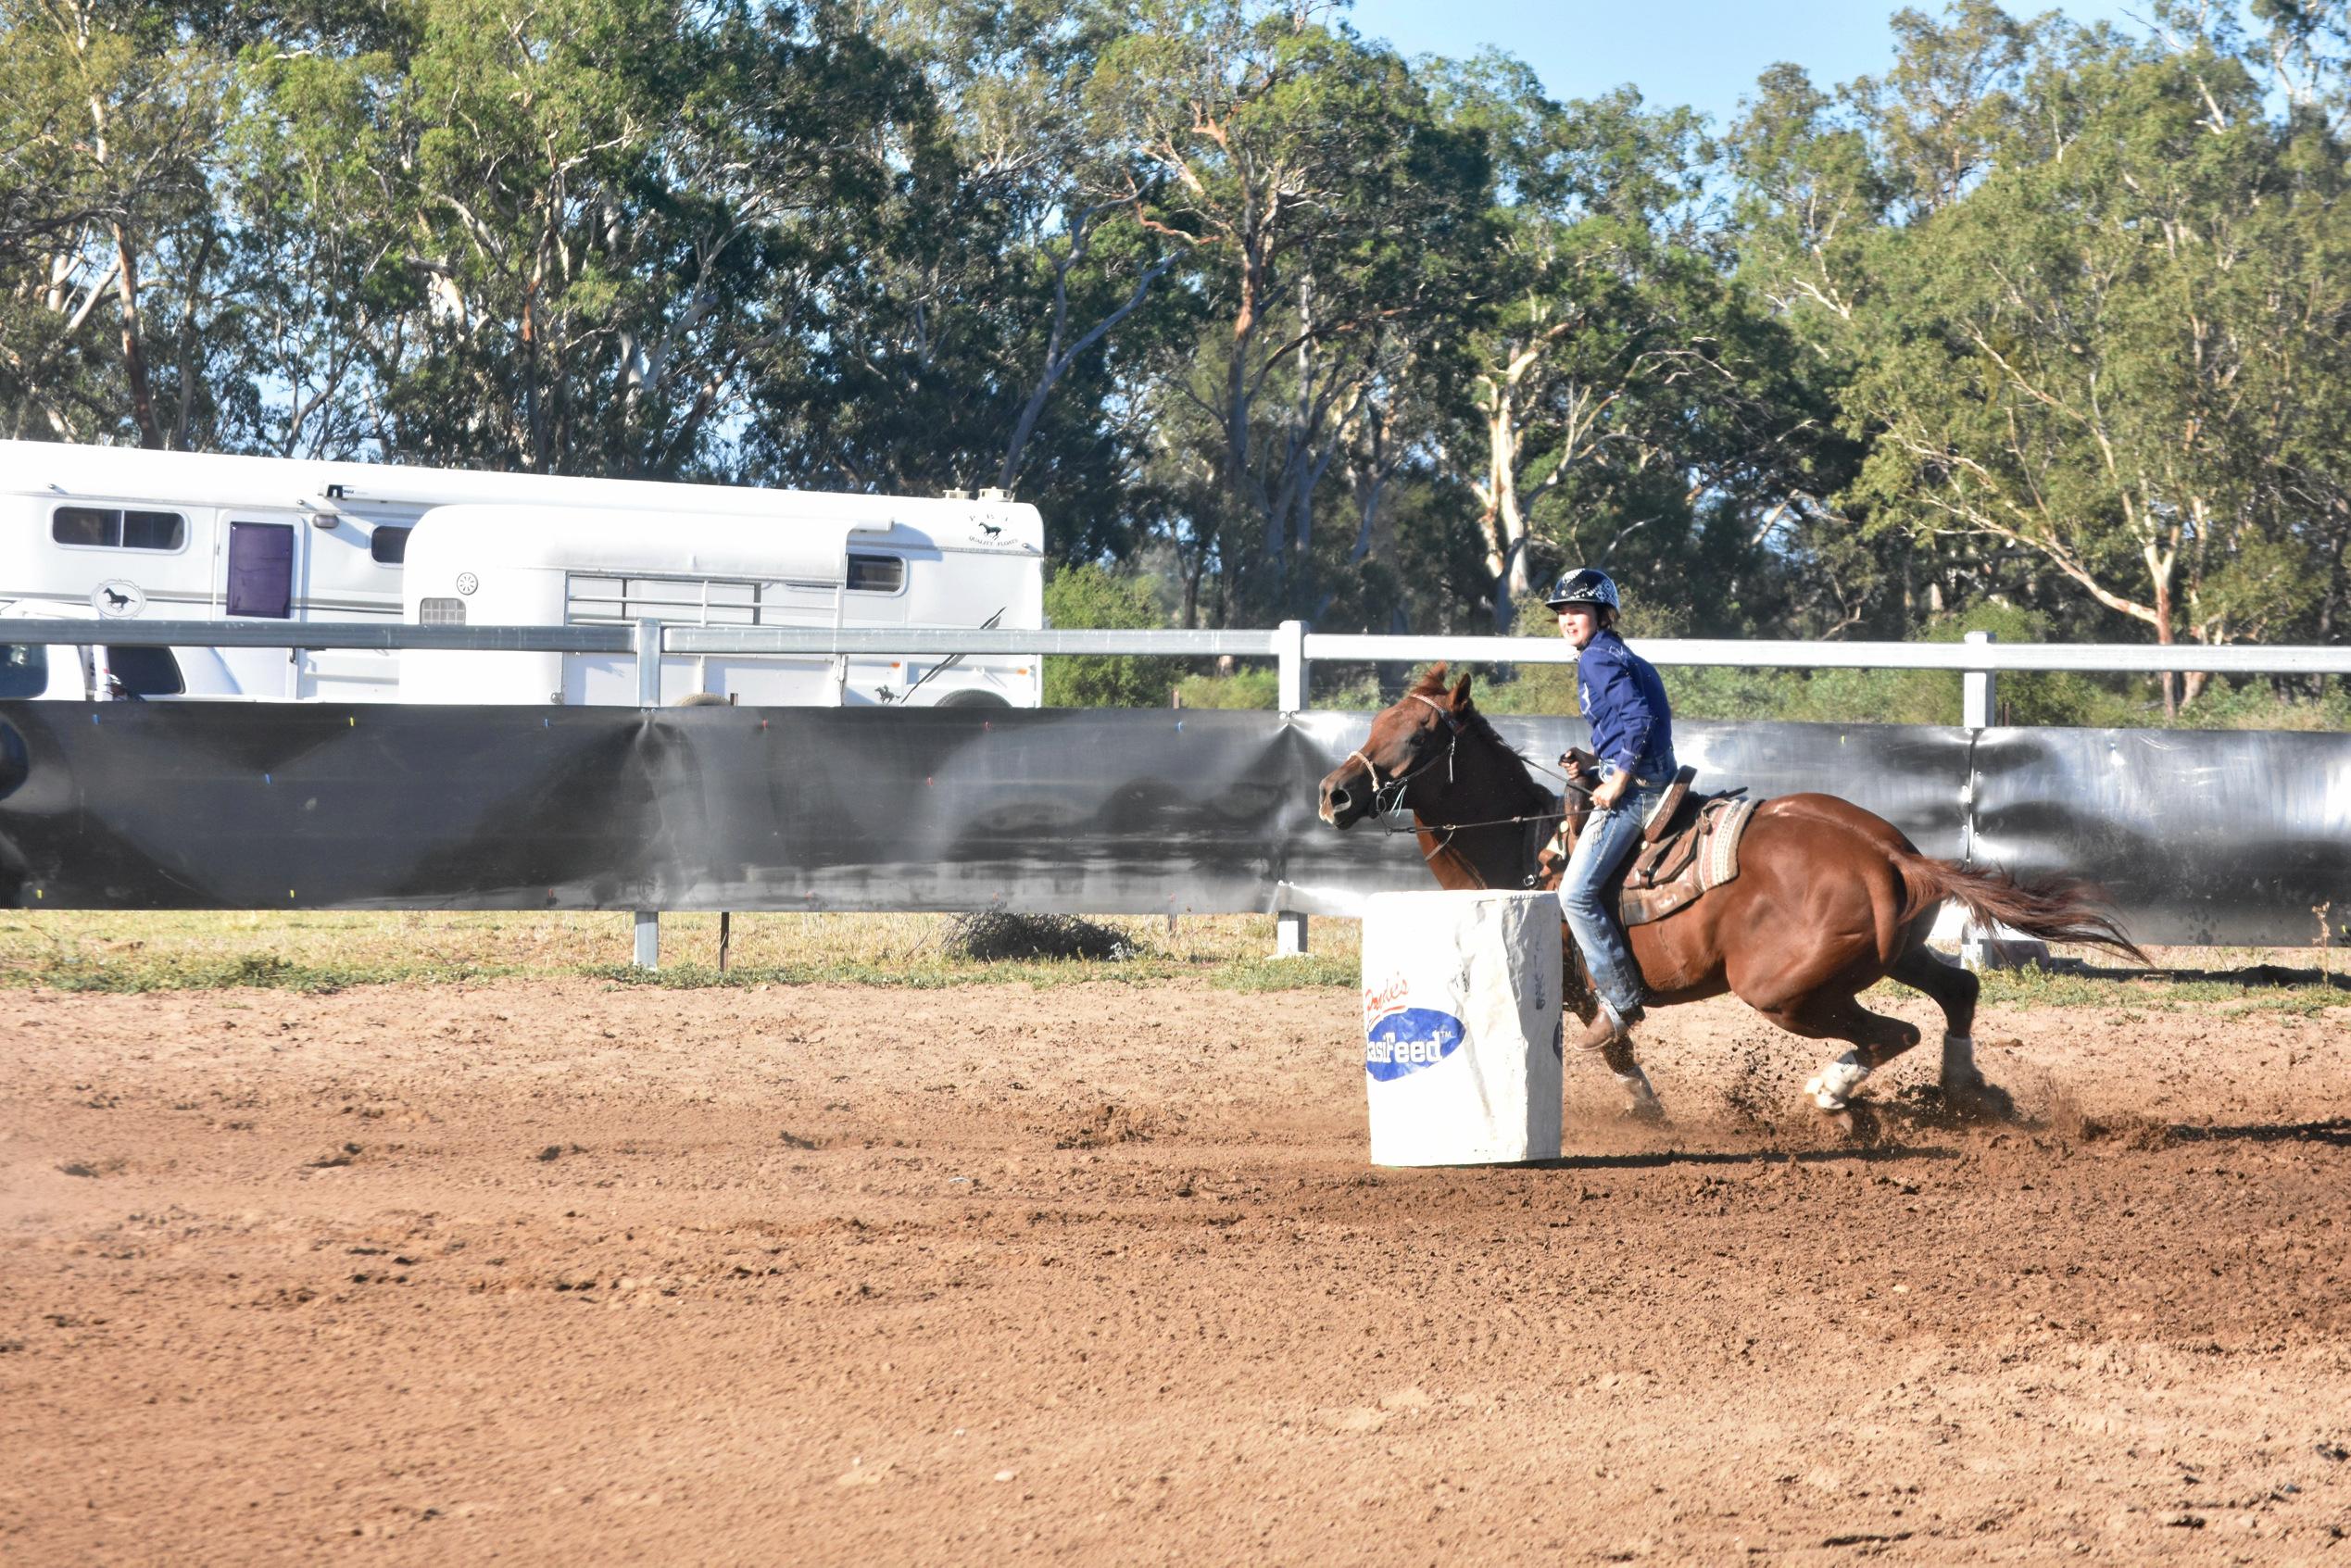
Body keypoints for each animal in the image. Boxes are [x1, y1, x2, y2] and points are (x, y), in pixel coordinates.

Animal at [1316, 667, 2144, 1123]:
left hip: (1786, 991)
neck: (1528, 849)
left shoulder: (1580, 983)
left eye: (1418, 736)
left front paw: (1647, 1110)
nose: (1333, 792)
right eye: (1377, 719)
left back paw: (1833, 1092)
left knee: (1891, 1032)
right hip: (1896, 954)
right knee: (1959, 991)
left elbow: (1615, 1042)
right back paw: (1966, 1088)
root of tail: (1893, 854)